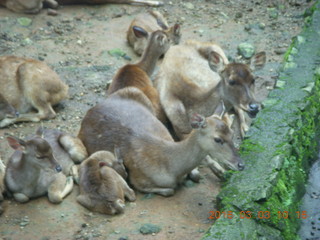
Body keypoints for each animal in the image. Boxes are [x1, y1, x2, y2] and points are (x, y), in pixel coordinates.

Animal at [78, 87, 245, 198]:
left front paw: (219, 172)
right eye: (218, 139)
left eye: (232, 133)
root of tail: (92, 109)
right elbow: (169, 190)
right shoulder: (137, 179)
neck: (170, 167)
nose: (241, 164)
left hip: (136, 92)